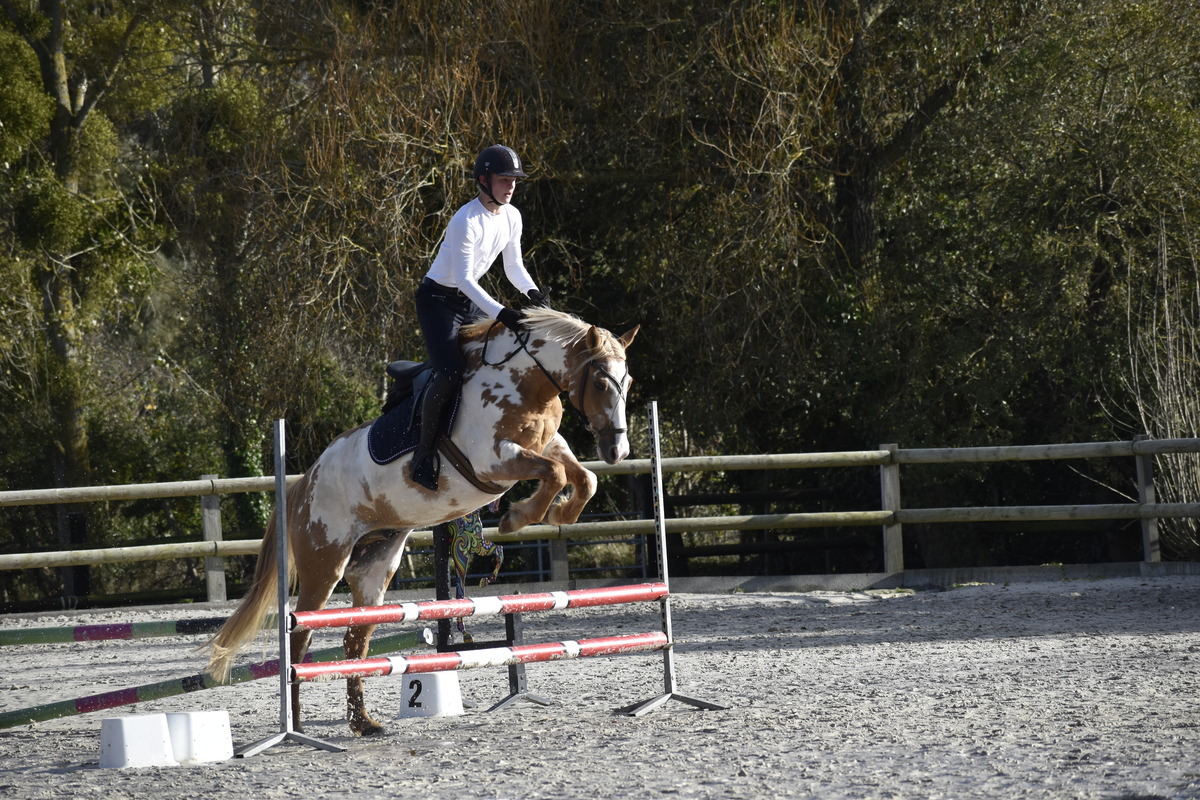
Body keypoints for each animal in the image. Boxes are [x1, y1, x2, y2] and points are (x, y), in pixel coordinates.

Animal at [205, 309, 638, 738]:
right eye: (601, 382)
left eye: (629, 382)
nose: (617, 451)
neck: (526, 383)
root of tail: (302, 484)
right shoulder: (496, 460)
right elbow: (556, 474)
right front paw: (518, 517)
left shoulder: (548, 445)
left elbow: (583, 477)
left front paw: (560, 514)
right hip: (324, 565)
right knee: (300, 639)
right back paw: (296, 723)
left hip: (375, 569)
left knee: (354, 642)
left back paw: (363, 722)